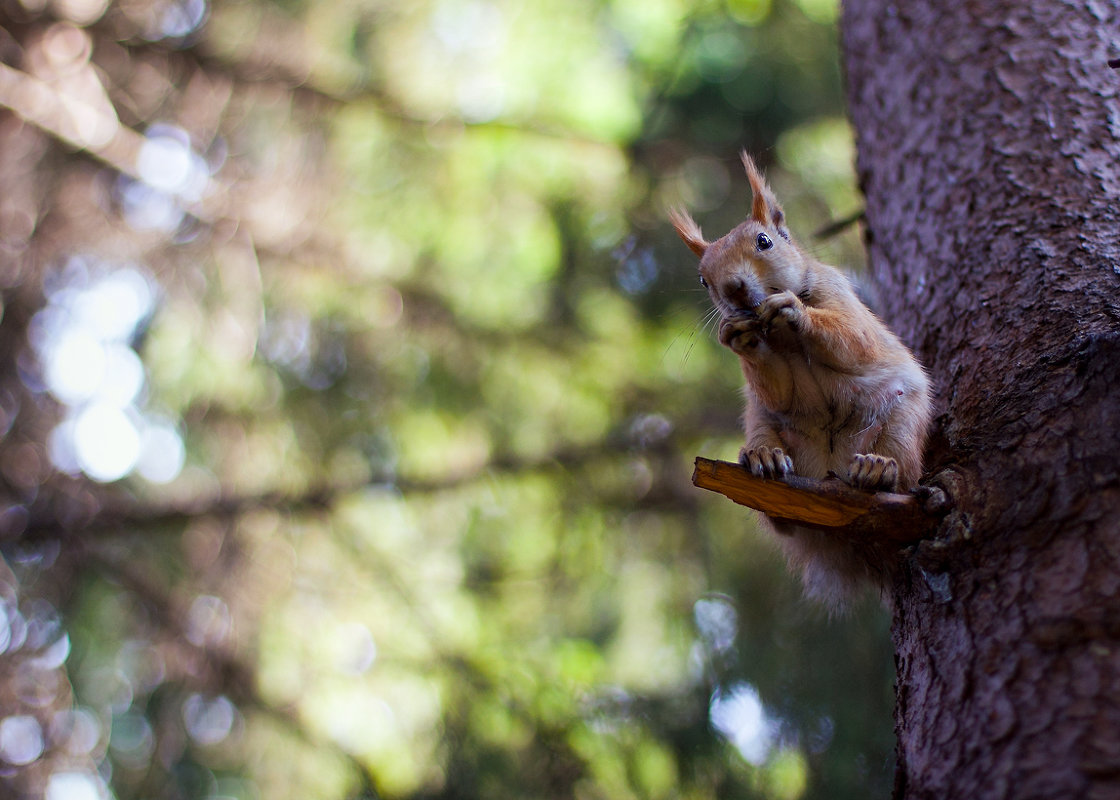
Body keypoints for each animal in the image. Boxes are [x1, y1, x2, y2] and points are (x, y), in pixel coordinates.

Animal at [667, 150, 931, 609]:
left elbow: (854, 342)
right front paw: (738, 338)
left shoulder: (841, 299)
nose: (733, 288)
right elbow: (779, 391)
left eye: (764, 241)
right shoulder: (773, 381)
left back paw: (878, 469)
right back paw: (764, 459)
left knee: (901, 471)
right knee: (782, 517)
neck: (782, 336)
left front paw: (794, 310)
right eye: (703, 278)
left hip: (903, 422)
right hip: (761, 423)